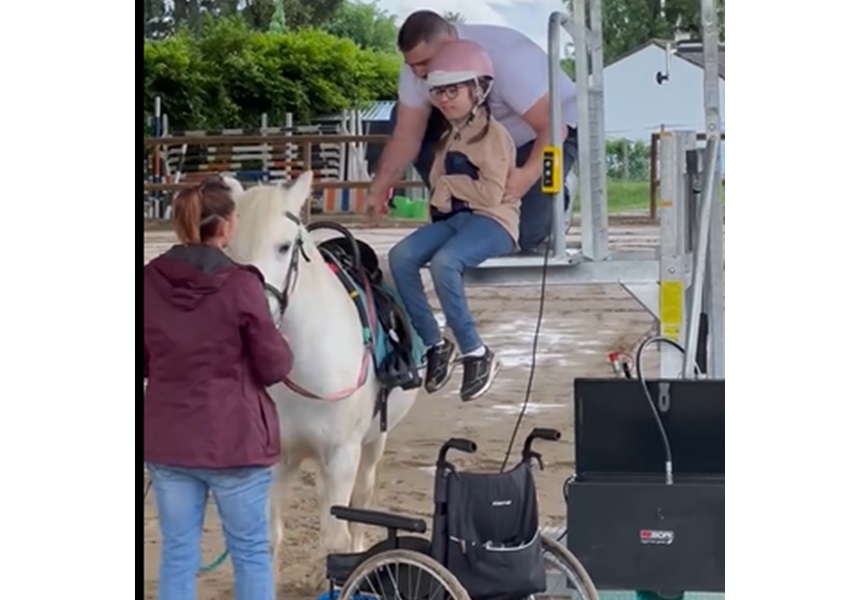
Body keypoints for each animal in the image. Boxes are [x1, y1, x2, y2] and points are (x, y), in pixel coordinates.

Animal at [227, 171, 422, 588]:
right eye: (230, 248)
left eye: (284, 247)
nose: (248, 313)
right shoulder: (277, 457)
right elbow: (269, 536)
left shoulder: (343, 453)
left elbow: (337, 537)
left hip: (373, 443)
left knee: (361, 499)